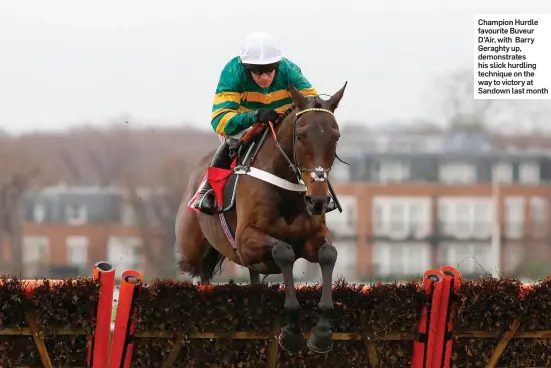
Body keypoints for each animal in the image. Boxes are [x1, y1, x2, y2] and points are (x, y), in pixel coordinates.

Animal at [177, 81, 348, 354]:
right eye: (300, 136)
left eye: (336, 137)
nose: (318, 200)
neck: (287, 192)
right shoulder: (246, 240)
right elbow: (284, 251)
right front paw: (291, 331)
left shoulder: (312, 236)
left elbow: (327, 254)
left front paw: (321, 333)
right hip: (192, 248)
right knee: (201, 273)